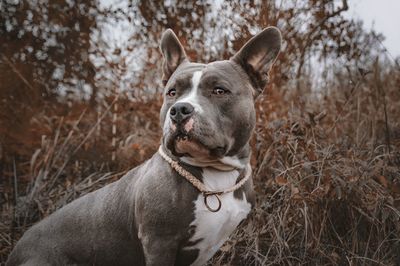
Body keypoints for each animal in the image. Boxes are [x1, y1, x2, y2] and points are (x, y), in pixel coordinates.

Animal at [6, 26, 282, 264]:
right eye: (172, 92)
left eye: (219, 90)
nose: (179, 110)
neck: (214, 177)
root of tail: (15, 251)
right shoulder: (159, 242)